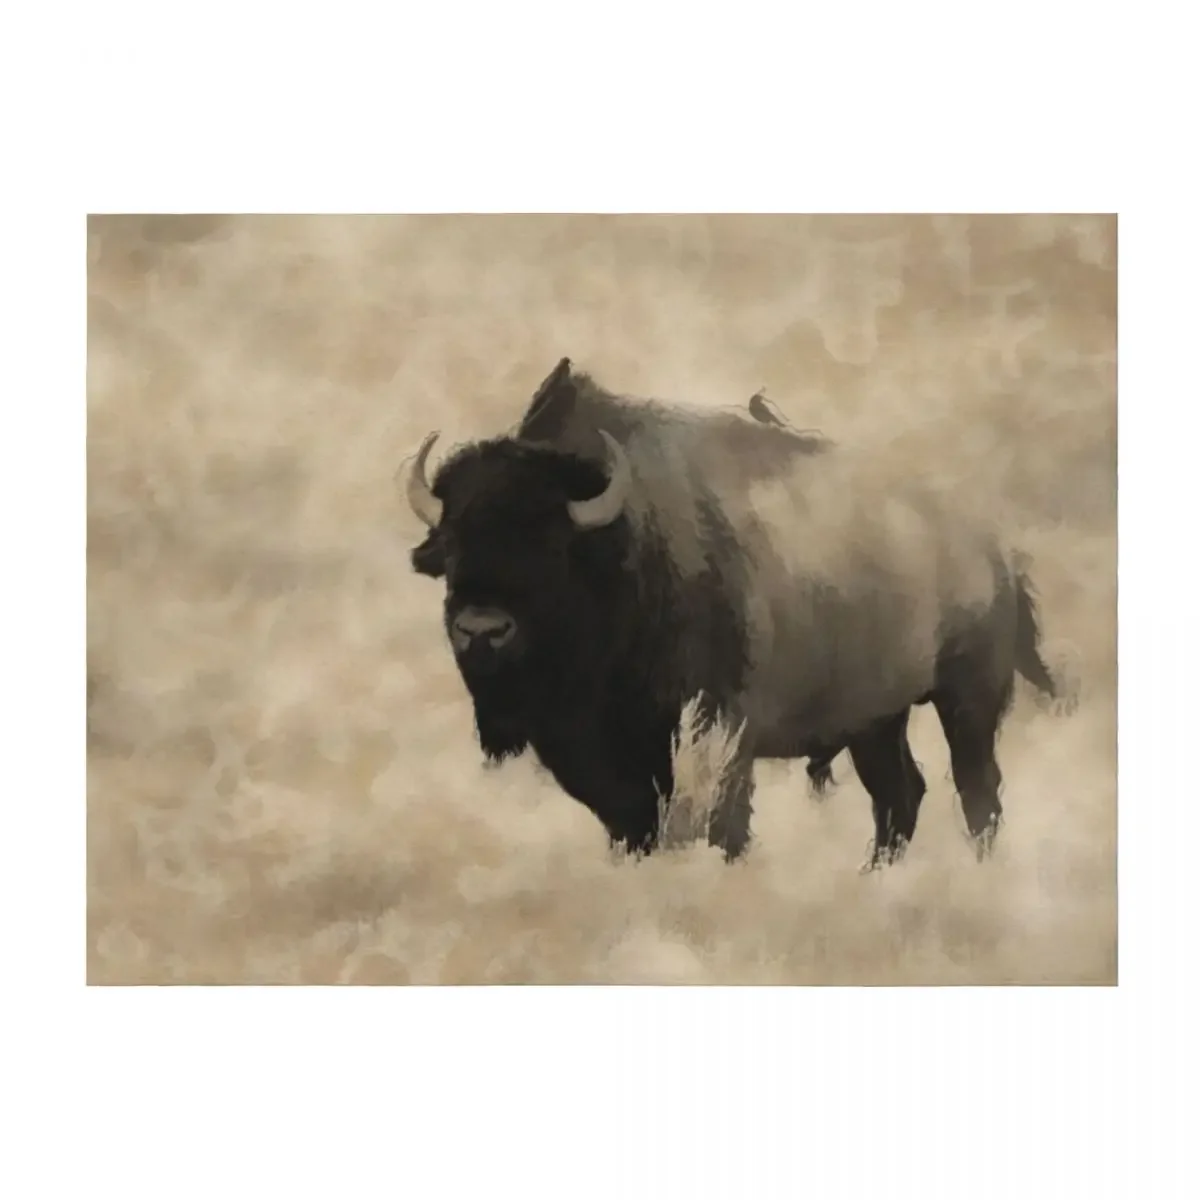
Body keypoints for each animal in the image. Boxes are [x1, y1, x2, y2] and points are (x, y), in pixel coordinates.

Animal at [402, 357, 1068, 869]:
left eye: (551, 546)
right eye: (452, 544)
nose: (481, 630)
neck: (626, 549)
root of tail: (997, 549)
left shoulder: (723, 731)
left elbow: (724, 827)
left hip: (968, 700)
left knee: (977, 793)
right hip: (877, 720)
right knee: (902, 794)